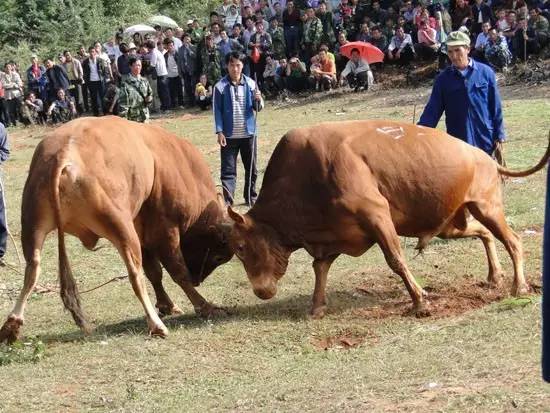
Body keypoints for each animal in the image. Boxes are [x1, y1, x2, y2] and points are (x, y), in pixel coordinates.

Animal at [0, 116, 233, 342]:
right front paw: (204, 306)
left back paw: (12, 325)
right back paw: (157, 325)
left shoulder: (144, 235)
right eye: (219, 257)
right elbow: (176, 271)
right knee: (135, 275)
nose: (198, 280)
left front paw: (167, 304)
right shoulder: (164, 230)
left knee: (32, 269)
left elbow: (155, 272)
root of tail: (64, 153)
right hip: (121, 228)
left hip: (33, 226)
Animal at [226, 120, 548, 318]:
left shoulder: (376, 216)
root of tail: (485, 157)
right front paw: (317, 306)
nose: (260, 291)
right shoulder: (335, 234)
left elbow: (396, 261)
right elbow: (320, 267)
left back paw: (519, 286)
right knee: (484, 233)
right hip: (452, 223)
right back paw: (494, 275)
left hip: (486, 206)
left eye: (241, 248)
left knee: (513, 240)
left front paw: (420, 300)